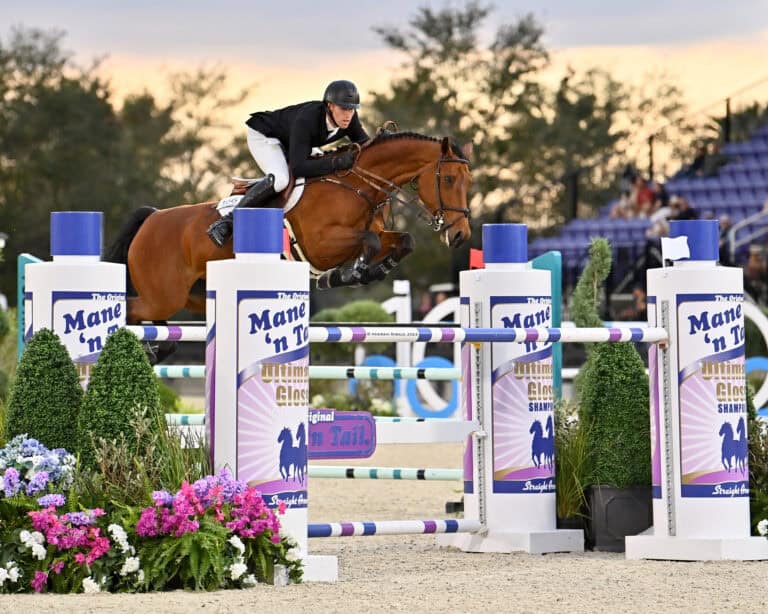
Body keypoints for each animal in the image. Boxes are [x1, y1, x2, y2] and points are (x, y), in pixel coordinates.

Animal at [106, 131, 473, 325]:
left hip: (190, 296)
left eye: (468, 181)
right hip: (162, 296)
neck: (356, 186)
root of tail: (152, 218)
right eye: (448, 179)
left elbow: (404, 241)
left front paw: (371, 271)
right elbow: (367, 241)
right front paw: (349, 274)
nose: (460, 235)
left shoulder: (378, 235)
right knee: (130, 311)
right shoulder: (321, 246)